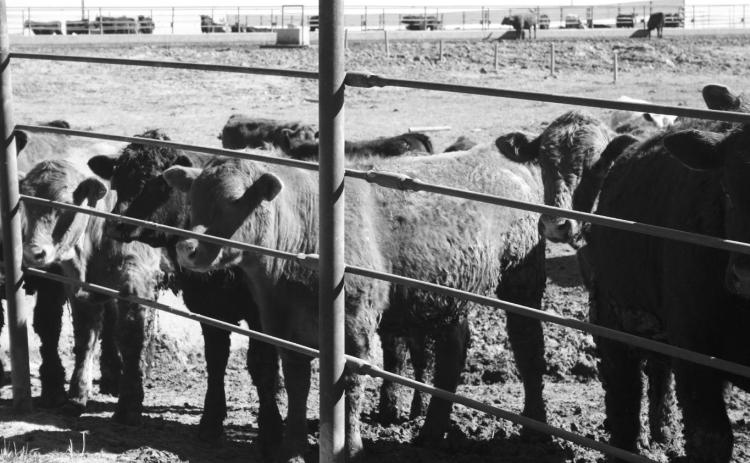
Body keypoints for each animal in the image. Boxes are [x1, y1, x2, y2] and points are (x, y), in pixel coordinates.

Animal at [86, 129, 283, 454]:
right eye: (118, 179)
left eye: (159, 183)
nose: (117, 225)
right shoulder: (209, 309)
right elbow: (216, 360)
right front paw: (211, 422)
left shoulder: (261, 316)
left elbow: (262, 365)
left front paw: (271, 430)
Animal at [163, 143, 549, 460]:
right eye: (193, 199)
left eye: (235, 199)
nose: (187, 247)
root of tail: (498, 155)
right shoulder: (284, 328)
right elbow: (297, 383)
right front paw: (292, 448)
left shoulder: (353, 327)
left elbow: (348, 385)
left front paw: (349, 448)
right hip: (448, 298)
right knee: (454, 349)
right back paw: (431, 432)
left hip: (522, 279)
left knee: (527, 343)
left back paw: (534, 425)